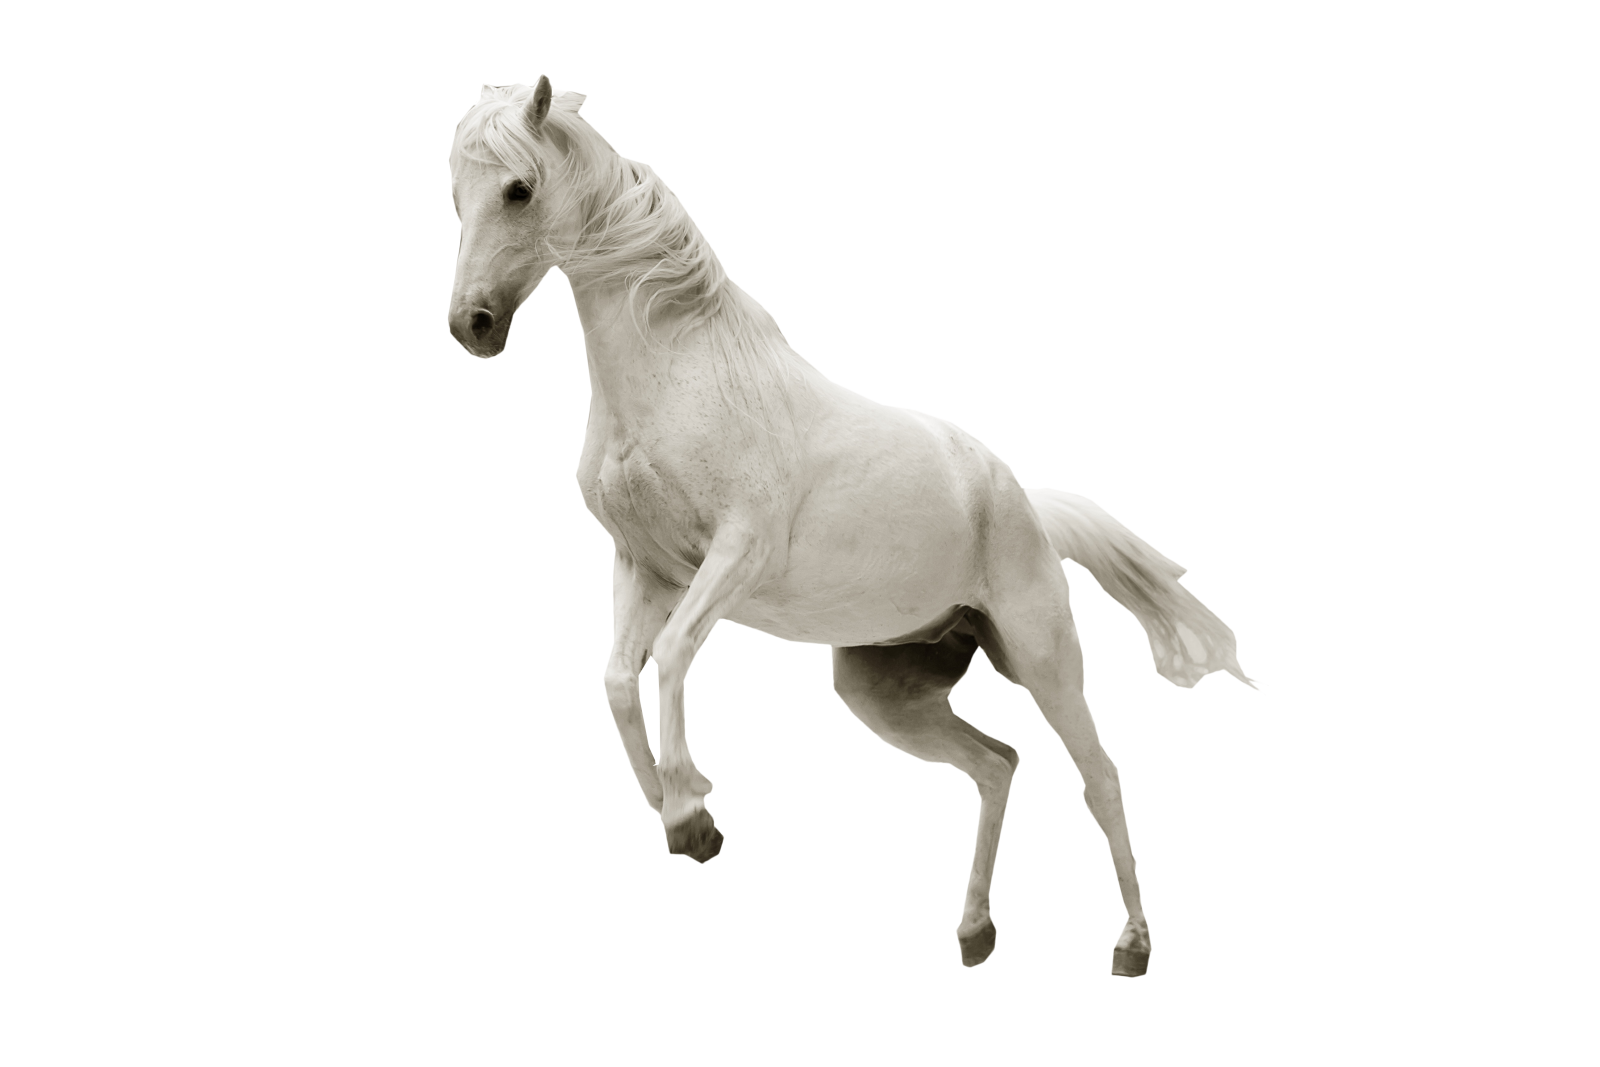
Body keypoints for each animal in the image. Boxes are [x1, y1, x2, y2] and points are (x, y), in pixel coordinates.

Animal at [445, 75, 1266, 976]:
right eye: (459, 193)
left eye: (518, 190)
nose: (472, 326)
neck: (681, 369)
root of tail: (1023, 502)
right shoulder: (643, 568)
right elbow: (619, 679)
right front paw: (679, 814)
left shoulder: (734, 556)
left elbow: (672, 655)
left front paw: (693, 809)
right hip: (883, 689)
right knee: (997, 765)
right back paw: (975, 932)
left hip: (1043, 660)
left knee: (1101, 777)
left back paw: (1133, 943)